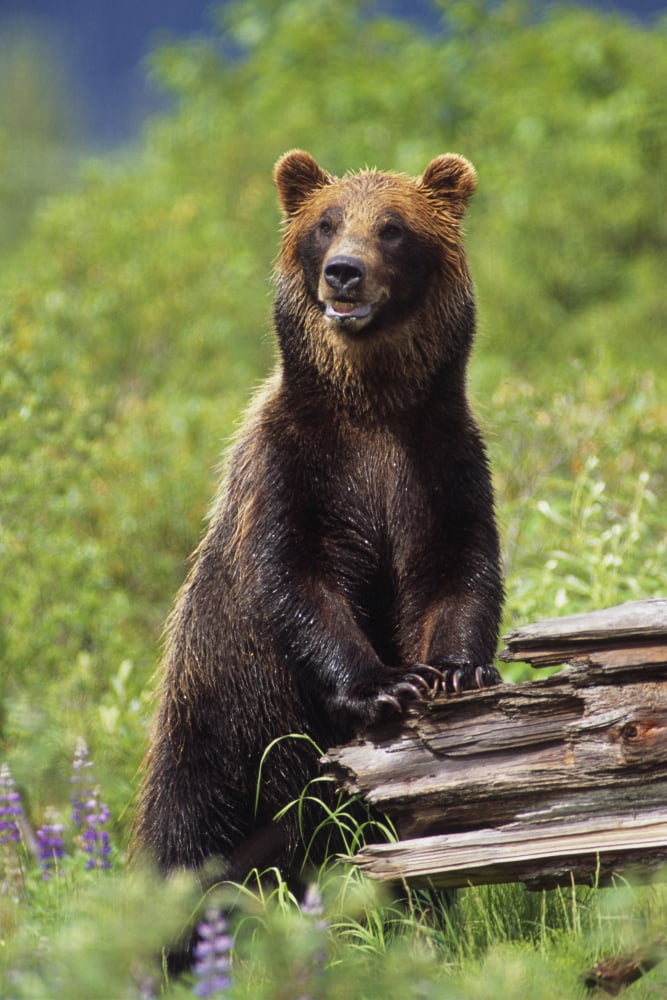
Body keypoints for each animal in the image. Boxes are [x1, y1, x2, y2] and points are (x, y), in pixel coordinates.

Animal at [132, 149, 504, 891]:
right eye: (326, 222)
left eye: (392, 227)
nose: (344, 271)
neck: (373, 407)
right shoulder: (297, 468)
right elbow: (298, 576)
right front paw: (386, 683)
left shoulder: (439, 463)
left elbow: (459, 569)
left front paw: (459, 670)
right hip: (219, 720)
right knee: (191, 828)